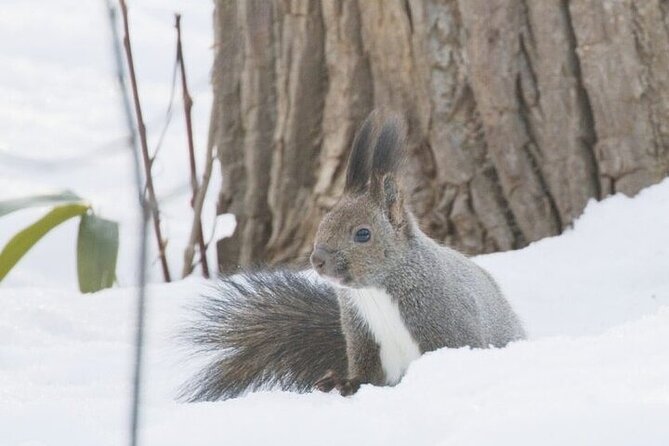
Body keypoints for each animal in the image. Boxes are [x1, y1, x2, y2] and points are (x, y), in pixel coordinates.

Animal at [180, 110, 524, 400]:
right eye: (323, 222)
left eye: (362, 234)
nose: (317, 260)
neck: (377, 290)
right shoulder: (361, 335)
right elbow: (366, 373)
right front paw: (343, 382)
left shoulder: (447, 322)